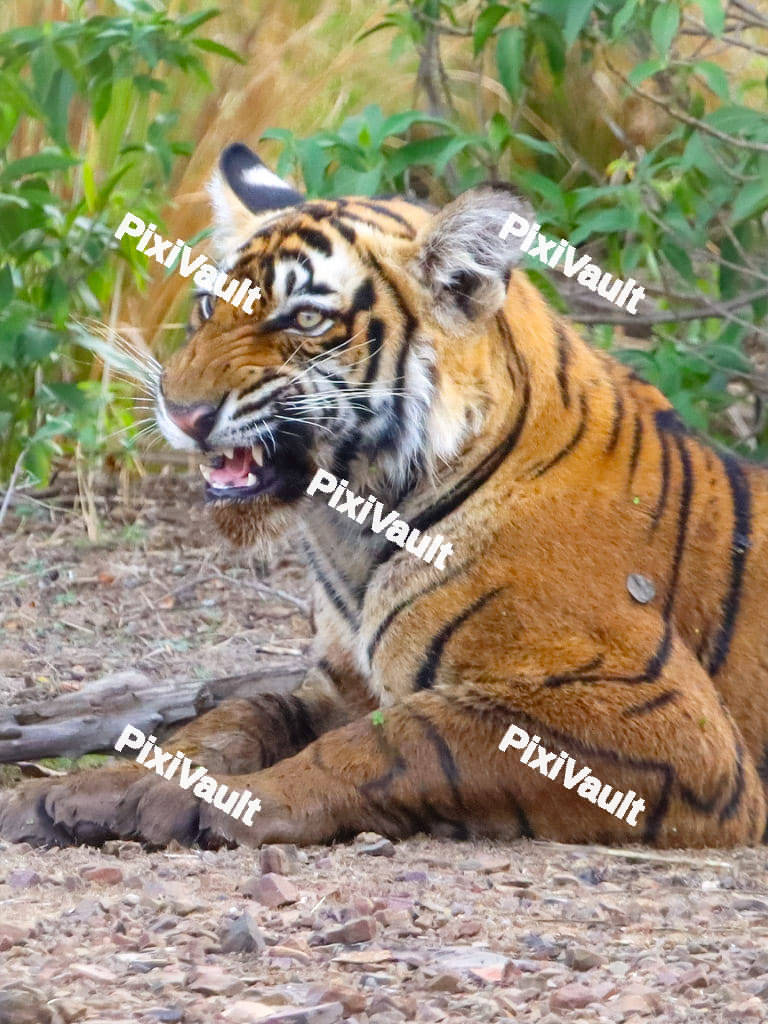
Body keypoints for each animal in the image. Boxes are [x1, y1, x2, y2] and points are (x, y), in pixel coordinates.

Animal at [2, 141, 767, 850]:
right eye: (208, 306)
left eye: (306, 321)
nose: (182, 412)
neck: (352, 524)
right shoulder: (339, 683)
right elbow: (242, 713)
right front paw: (91, 789)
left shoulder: (671, 726)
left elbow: (401, 740)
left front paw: (212, 804)